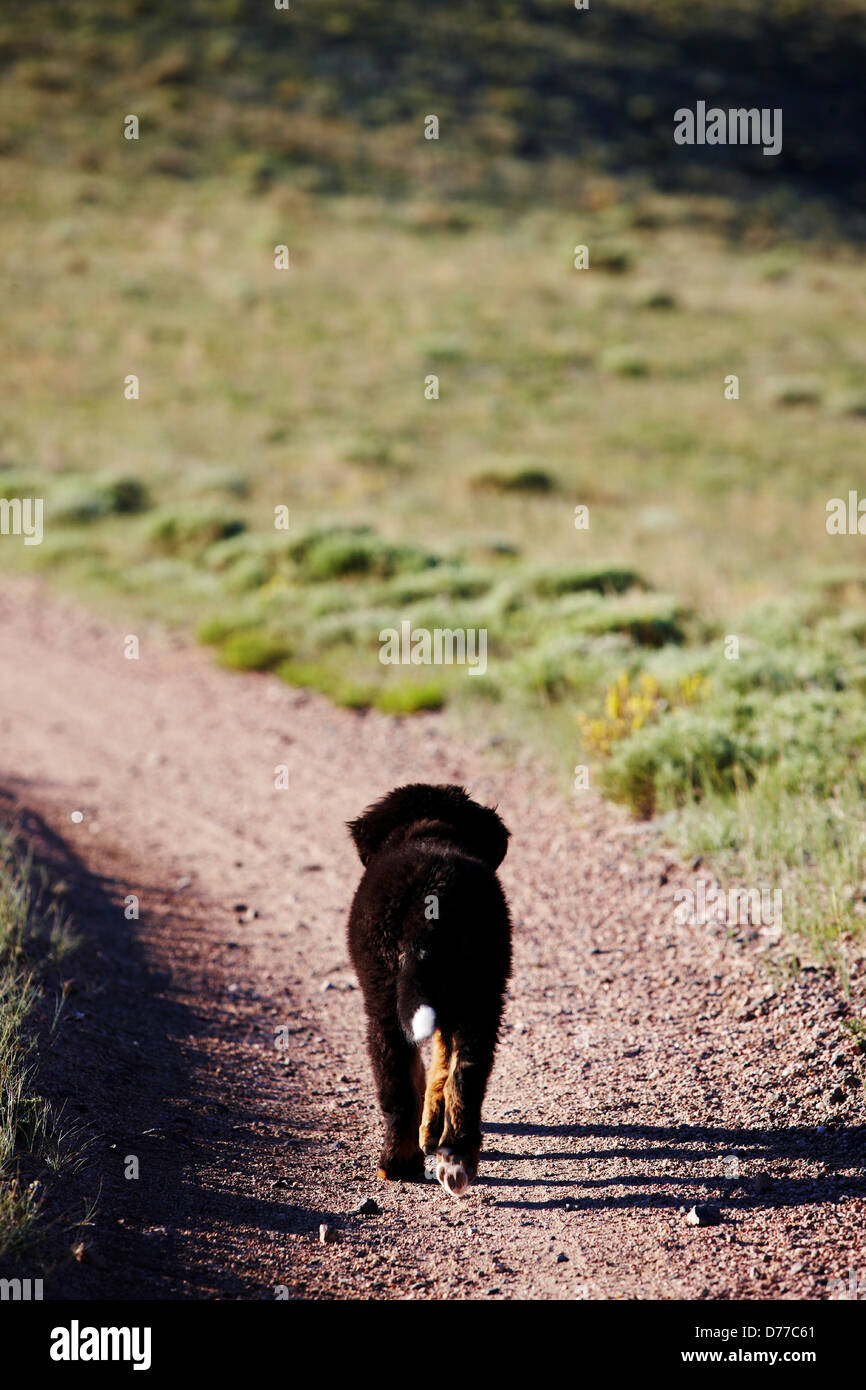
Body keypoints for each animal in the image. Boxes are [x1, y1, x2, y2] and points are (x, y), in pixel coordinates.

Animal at [346, 783, 511, 1195]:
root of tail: (430, 899)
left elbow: (421, 1075)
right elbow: (440, 1070)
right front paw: (433, 1132)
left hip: (384, 1003)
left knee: (397, 1089)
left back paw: (395, 1165)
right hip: (482, 996)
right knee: (466, 1076)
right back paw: (456, 1159)